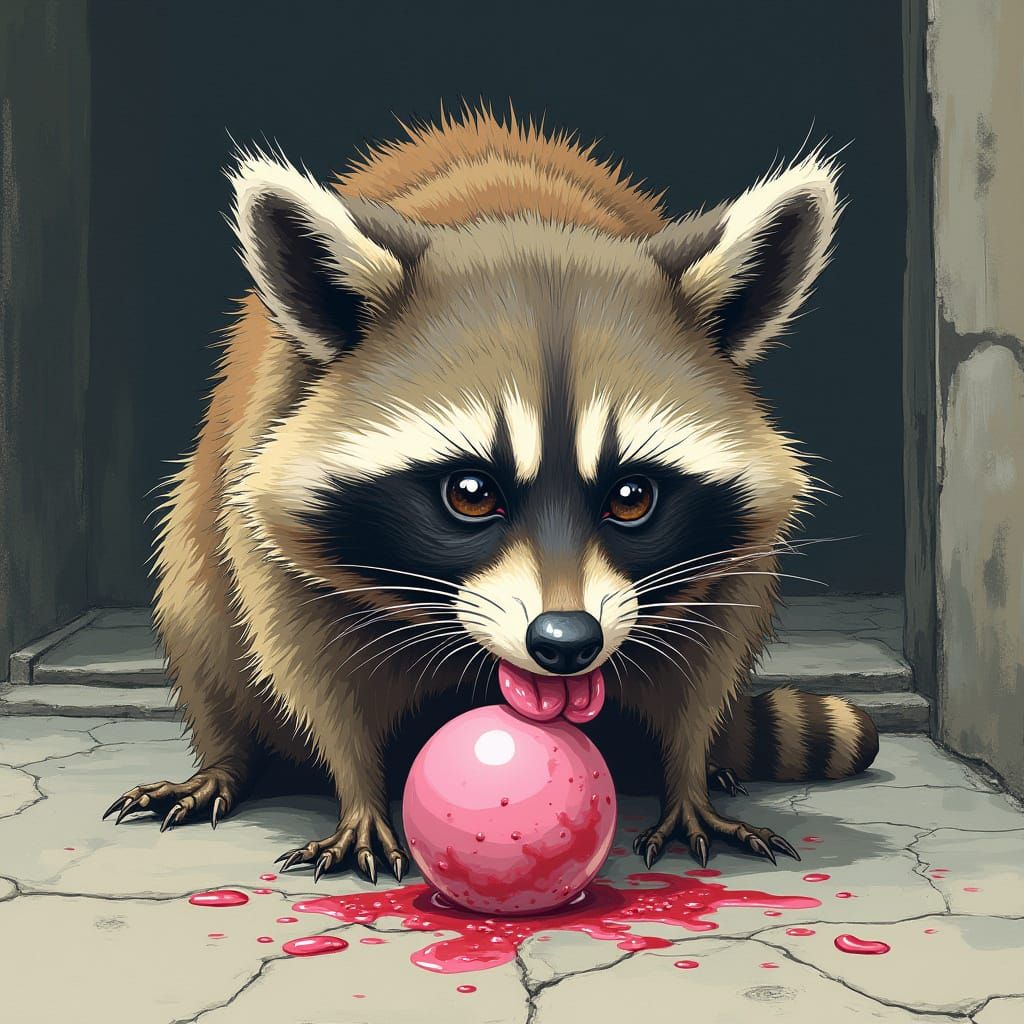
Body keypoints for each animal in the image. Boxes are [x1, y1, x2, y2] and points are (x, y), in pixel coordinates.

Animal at [103, 108, 878, 882]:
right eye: (472, 494)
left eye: (632, 496)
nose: (567, 642)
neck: (519, 221)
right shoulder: (274, 503)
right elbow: (312, 667)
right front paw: (359, 796)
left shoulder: (725, 565)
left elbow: (701, 669)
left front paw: (685, 780)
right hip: (199, 538)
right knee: (200, 620)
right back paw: (225, 761)